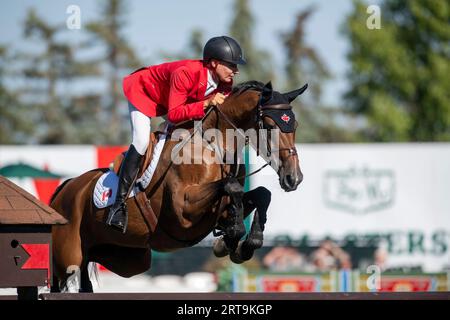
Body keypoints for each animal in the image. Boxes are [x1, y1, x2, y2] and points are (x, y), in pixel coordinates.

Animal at [51, 80, 308, 292]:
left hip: (127, 258)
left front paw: (242, 244)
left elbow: (260, 195)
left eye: (295, 126)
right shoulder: (183, 212)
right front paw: (232, 236)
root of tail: (64, 190)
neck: (213, 144)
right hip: (68, 259)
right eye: (269, 126)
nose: (293, 178)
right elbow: (231, 187)